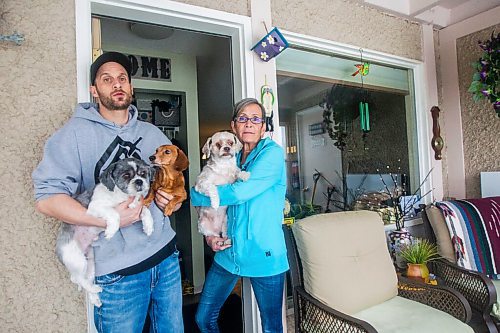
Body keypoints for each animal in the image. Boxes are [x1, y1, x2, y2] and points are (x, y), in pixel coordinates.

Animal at [54, 158, 154, 306]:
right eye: (126, 175)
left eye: (143, 173)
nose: (139, 181)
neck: (121, 196)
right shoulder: (95, 207)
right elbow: (114, 213)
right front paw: (111, 231)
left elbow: (145, 210)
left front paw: (148, 226)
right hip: (77, 259)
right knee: (80, 280)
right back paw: (95, 289)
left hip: (90, 264)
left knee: (85, 279)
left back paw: (95, 298)